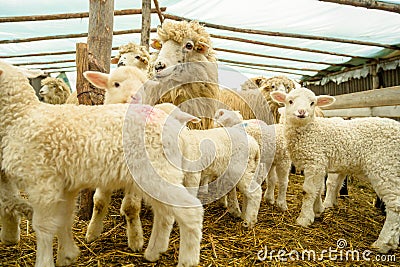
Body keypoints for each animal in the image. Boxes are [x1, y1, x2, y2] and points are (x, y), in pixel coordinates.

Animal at [0, 60, 205, 267]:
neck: (21, 115)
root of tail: (172, 126)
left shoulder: (42, 182)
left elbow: (43, 226)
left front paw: (45, 260)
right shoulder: (64, 186)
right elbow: (64, 219)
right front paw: (67, 255)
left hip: (156, 172)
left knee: (191, 211)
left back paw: (187, 260)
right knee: (164, 213)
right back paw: (154, 251)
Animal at [270, 87, 400, 253]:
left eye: (312, 103)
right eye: (290, 101)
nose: (301, 112)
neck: (310, 130)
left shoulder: (315, 160)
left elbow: (308, 191)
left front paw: (304, 219)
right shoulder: (319, 164)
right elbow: (318, 189)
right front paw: (318, 210)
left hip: (385, 167)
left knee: (394, 206)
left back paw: (382, 243)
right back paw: (393, 242)